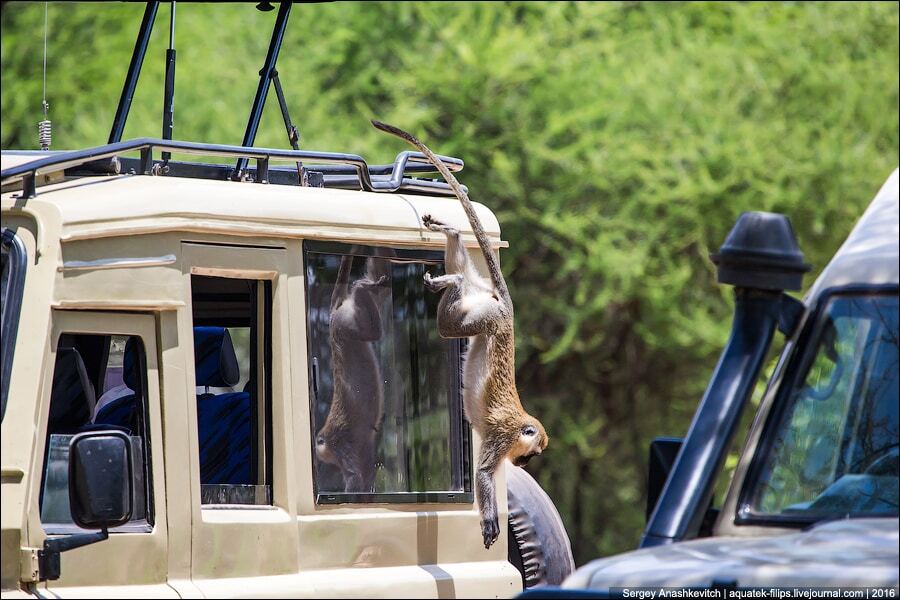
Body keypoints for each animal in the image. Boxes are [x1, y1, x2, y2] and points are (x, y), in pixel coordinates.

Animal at [370, 118, 548, 548]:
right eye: (530, 452)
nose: (523, 462)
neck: (519, 423)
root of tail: (505, 310)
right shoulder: (502, 436)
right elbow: (484, 473)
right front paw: (490, 522)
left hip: (479, 300)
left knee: (460, 278)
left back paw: (450, 234)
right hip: (485, 318)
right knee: (447, 326)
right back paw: (448, 280)